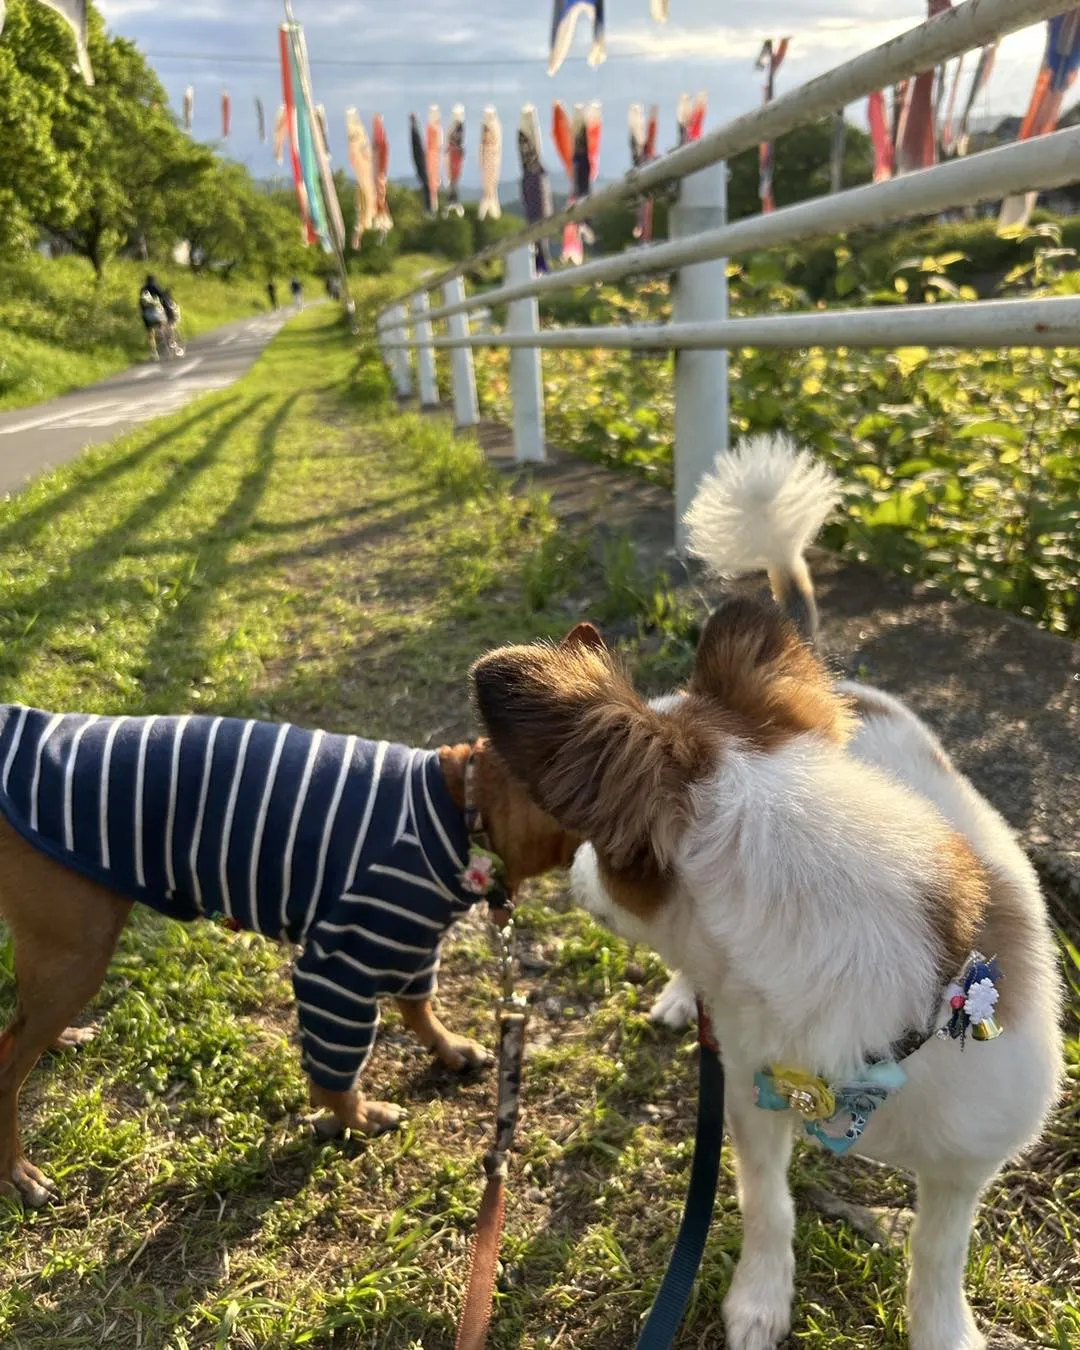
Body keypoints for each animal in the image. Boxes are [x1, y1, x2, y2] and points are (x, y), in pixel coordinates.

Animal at [0, 621, 599, 1204]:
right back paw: (19, 1174)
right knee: (9, 1062)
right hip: (77, 954)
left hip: (57, 960)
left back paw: (59, 1040)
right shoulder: (335, 971)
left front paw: (448, 1048)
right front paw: (358, 1118)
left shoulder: (412, 945)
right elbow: (336, 1071)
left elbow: (418, 1006)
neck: (463, 808)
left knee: (21, 1022)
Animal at [472, 440, 1063, 1350]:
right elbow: (766, 1202)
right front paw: (760, 1296)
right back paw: (682, 999)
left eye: (593, 850)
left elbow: (937, 1255)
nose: (571, 877)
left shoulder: (967, 1157)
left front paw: (943, 1329)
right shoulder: (754, 1091)